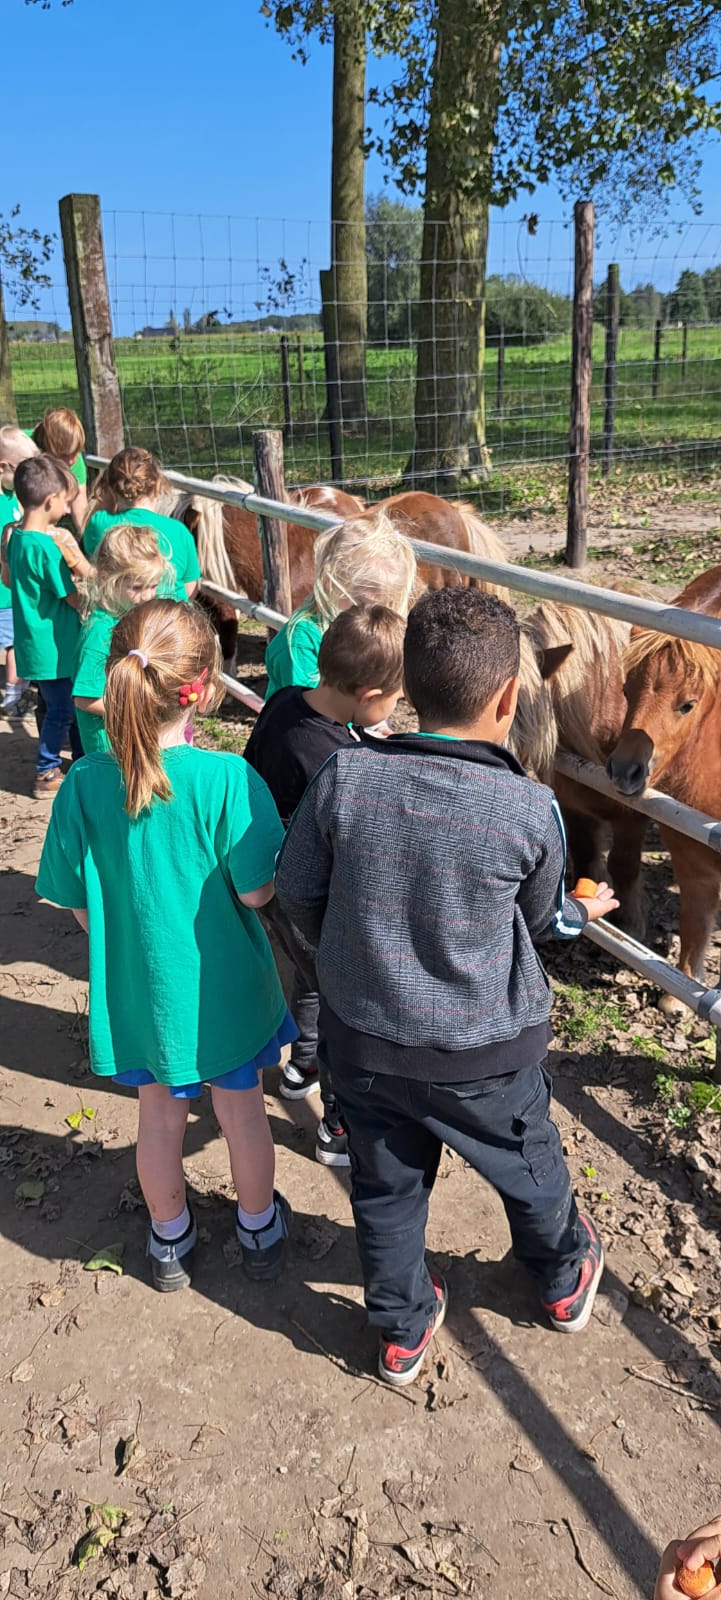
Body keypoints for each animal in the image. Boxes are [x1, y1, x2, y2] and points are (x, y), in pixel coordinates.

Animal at [607, 566, 721, 998]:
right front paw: (681, 994)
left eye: (687, 705)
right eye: (626, 689)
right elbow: (695, 919)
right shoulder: (690, 856)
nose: (624, 770)